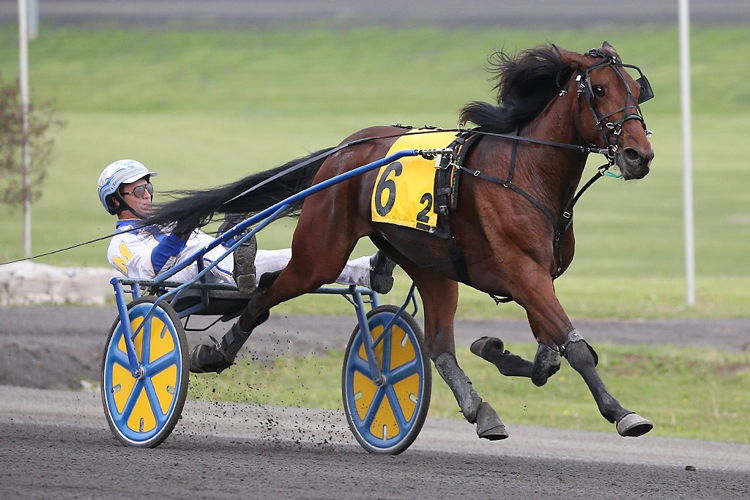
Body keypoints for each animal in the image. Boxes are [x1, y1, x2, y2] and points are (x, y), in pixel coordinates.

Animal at [147, 42, 656, 438]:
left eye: (636, 92)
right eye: (599, 90)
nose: (639, 155)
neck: (525, 172)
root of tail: (344, 149)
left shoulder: (538, 277)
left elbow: (551, 356)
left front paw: (494, 349)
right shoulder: (523, 272)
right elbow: (576, 349)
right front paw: (622, 413)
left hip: (431, 266)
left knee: (438, 345)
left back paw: (479, 409)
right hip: (322, 252)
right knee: (269, 291)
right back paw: (215, 351)